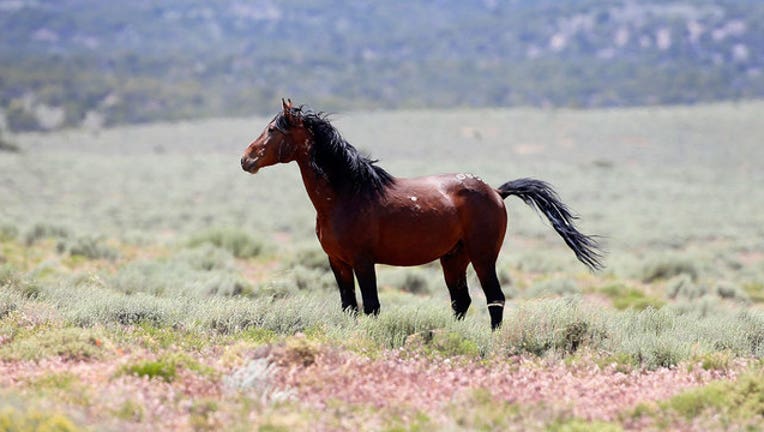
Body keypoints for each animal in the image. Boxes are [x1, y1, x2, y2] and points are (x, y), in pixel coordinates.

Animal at [241, 99, 603, 329]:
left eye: (274, 129)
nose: (246, 159)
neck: (346, 195)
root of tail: (496, 192)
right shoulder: (338, 262)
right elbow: (349, 306)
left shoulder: (362, 261)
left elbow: (371, 306)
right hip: (454, 258)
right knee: (461, 301)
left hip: (483, 256)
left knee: (494, 299)